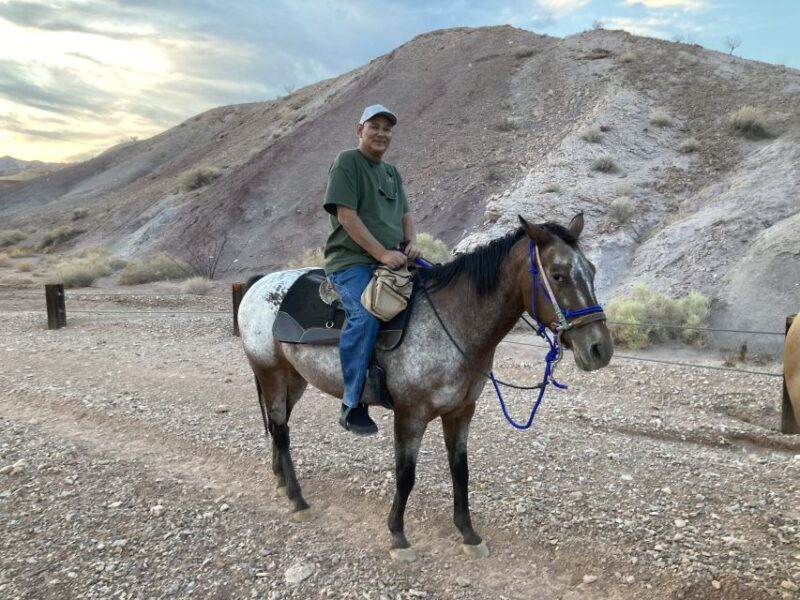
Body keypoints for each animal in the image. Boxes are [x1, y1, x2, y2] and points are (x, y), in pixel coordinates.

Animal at [237, 213, 614, 560]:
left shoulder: (461, 412)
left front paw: (468, 534)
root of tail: (258, 284)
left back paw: (281, 480)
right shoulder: (410, 415)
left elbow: (460, 471)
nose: (600, 349)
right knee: (281, 430)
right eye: (558, 275)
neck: (451, 321)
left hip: (294, 380)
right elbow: (406, 475)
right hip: (271, 373)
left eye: (593, 271)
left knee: (280, 427)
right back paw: (297, 499)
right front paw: (398, 536)